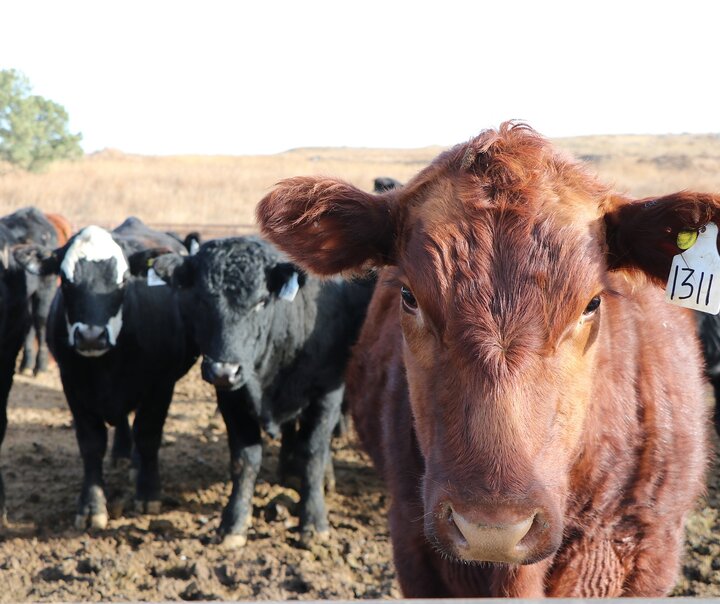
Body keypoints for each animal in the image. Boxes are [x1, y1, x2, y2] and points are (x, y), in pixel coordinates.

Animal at [14, 217, 198, 528]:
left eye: (123, 280)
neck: (106, 366)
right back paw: (122, 454)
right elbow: (91, 444)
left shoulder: (161, 385)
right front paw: (91, 506)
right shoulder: (72, 385)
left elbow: (148, 435)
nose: (91, 337)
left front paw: (148, 493)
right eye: (66, 280)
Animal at [153, 236, 376, 548]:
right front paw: (233, 524)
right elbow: (245, 460)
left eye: (260, 302)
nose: (223, 370)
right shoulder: (232, 400)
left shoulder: (327, 393)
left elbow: (313, 453)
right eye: (201, 300)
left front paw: (313, 522)